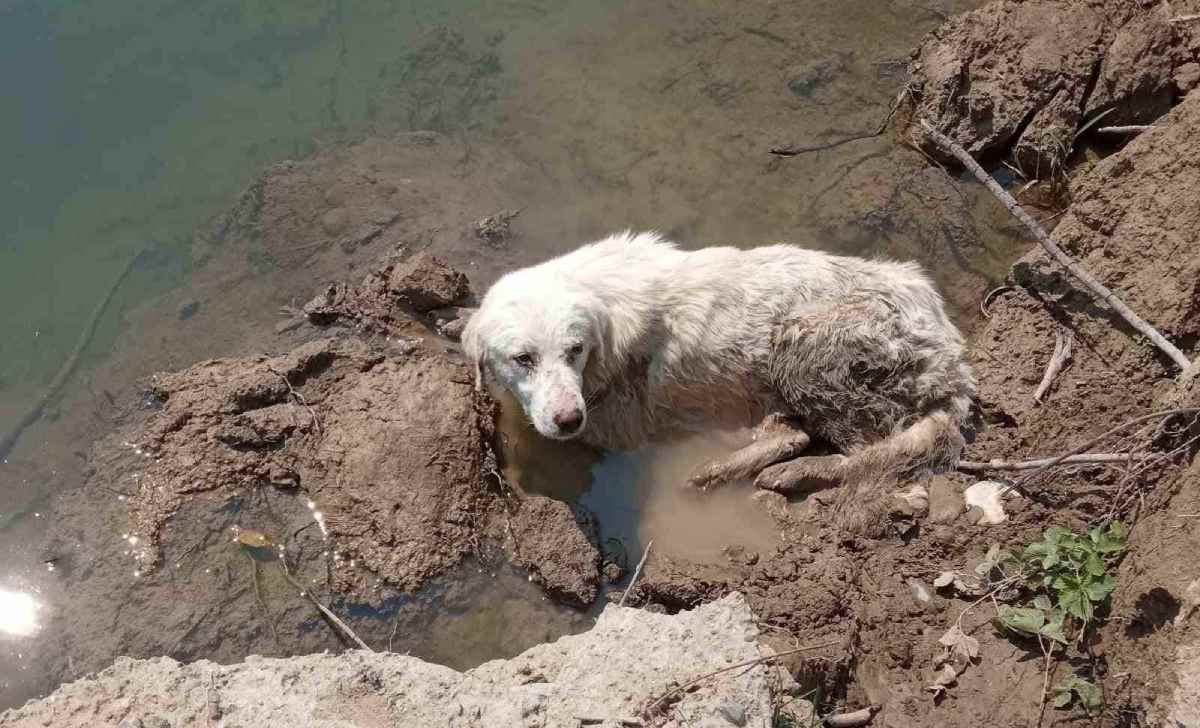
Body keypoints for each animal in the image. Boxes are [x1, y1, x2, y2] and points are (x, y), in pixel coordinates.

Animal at [458, 230, 974, 520]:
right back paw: (727, 467)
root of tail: (952, 356)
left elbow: (536, 436)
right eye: (523, 358)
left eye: (575, 350)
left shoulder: (615, 426)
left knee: (862, 449)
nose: (568, 418)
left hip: (803, 343)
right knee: (795, 435)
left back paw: (796, 473)